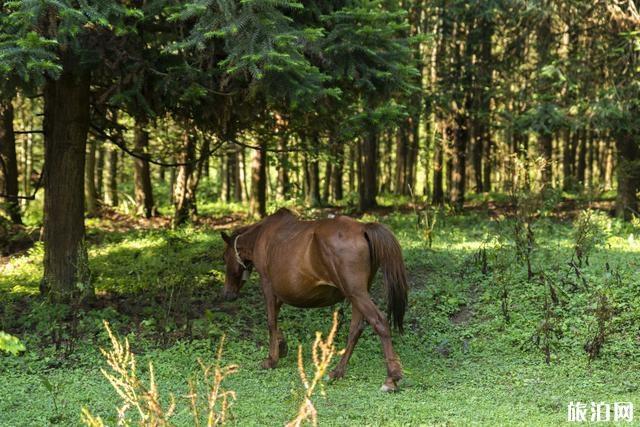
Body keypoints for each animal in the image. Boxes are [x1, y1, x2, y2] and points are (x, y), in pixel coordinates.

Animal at [222, 209, 408, 392]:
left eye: (225, 257)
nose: (228, 294)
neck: (262, 235)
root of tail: (363, 228)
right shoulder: (279, 292)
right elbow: (275, 316)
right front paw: (281, 346)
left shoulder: (267, 284)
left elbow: (271, 321)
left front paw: (271, 359)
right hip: (357, 295)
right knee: (356, 329)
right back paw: (337, 372)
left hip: (357, 293)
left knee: (379, 322)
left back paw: (391, 378)